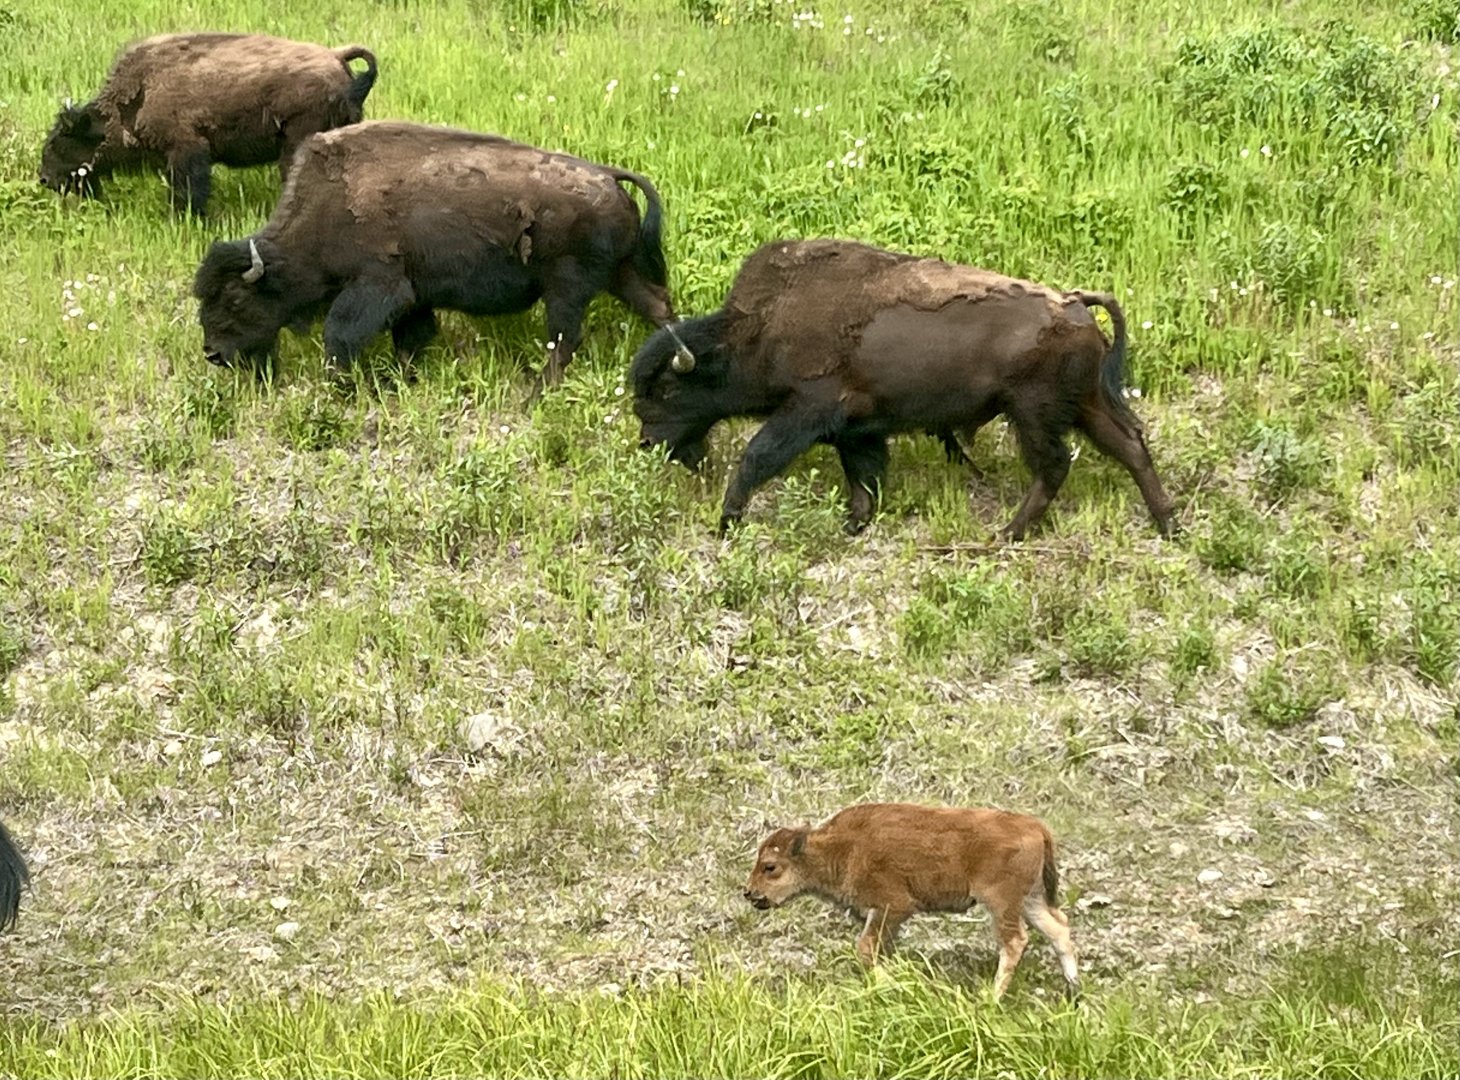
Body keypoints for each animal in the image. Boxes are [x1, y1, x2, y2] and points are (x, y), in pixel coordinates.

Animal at [40, 33, 377, 215]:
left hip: (298, 142)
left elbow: (189, 189)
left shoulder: (186, 149)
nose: (44, 179)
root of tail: (337, 58)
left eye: (60, 141)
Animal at [194, 121, 675, 387]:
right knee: (657, 306)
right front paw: (404, 378)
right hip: (618, 274)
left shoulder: (378, 285)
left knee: (565, 339)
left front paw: (341, 385)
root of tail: (608, 176)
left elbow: (341, 334)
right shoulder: (414, 297)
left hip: (566, 287)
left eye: (234, 299)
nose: (212, 353)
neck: (327, 206)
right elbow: (411, 339)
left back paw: (535, 393)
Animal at [632, 239, 1175, 539]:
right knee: (1129, 447)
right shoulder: (858, 428)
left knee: (1055, 465)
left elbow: (757, 457)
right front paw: (855, 524)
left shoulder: (808, 409)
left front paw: (727, 522)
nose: (648, 442)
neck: (757, 329)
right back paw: (1168, 525)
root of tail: (1073, 304)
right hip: (1084, 404)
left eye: (666, 392)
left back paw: (1008, 533)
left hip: (1032, 412)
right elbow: (864, 478)